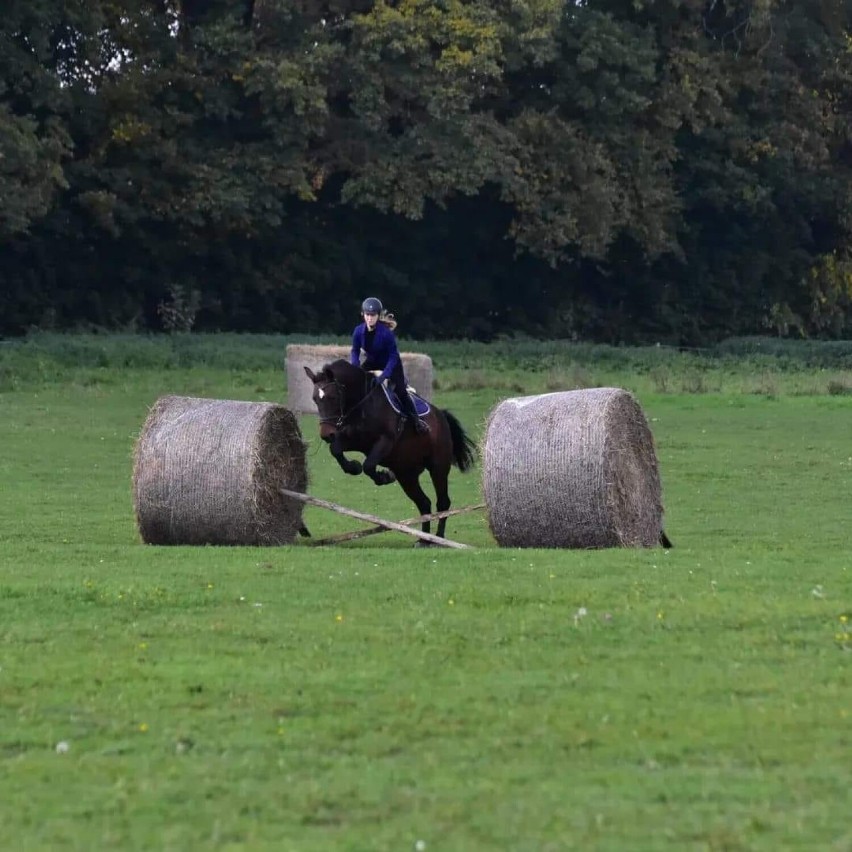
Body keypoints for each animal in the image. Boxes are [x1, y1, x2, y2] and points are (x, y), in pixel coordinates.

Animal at [302, 358, 476, 544]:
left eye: (333, 397)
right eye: (315, 399)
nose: (326, 434)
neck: (361, 404)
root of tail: (441, 416)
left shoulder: (385, 441)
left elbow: (369, 465)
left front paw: (383, 477)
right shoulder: (353, 441)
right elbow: (336, 450)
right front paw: (353, 467)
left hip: (438, 467)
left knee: (442, 502)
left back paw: (438, 538)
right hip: (406, 474)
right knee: (424, 503)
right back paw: (424, 540)